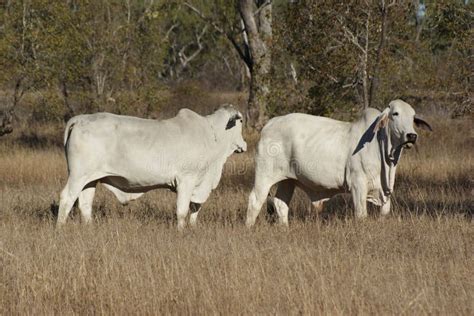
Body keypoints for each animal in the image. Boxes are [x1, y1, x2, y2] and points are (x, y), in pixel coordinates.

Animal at [57, 103, 246, 230]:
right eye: (242, 120)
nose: (244, 145)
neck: (212, 135)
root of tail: (80, 119)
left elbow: (195, 208)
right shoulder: (186, 179)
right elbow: (182, 210)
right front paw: (181, 231)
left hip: (90, 179)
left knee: (85, 203)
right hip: (78, 175)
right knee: (67, 198)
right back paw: (60, 228)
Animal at [246, 100, 432, 226]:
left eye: (413, 116)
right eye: (395, 114)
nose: (411, 136)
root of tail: (269, 124)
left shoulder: (385, 192)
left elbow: (384, 213)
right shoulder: (358, 185)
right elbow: (361, 214)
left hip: (288, 180)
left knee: (281, 204)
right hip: (264, 175)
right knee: (255, 200)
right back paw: (249, 228)